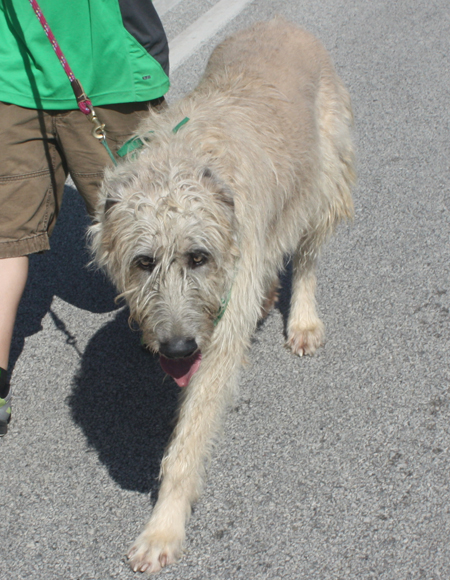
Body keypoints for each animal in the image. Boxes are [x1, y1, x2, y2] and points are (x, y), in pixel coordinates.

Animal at [89, 15, 356, 572]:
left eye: (198, 257)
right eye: (143, 262)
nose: (176, 349)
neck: (179, 162)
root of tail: (280, 20)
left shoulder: (221, 322)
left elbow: (191, 433)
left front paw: (164, 525)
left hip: (325, 168)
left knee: (308, 253)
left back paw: (302, 317)